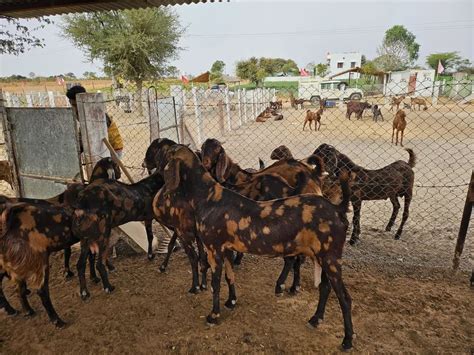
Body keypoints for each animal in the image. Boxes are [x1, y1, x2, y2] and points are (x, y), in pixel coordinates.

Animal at [153, 146, 356, 352]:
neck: (208, 198)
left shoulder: (213, 248)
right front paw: (231, 301)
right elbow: (230, 276)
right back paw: (315, 319)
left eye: (166, 153)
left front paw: (213, 315)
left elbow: (215, 284)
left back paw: (347, 340)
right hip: (322, 256)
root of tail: (338, 209)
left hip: (330, 258)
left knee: (344, 298)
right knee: (325, 287)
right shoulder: (226, 248)